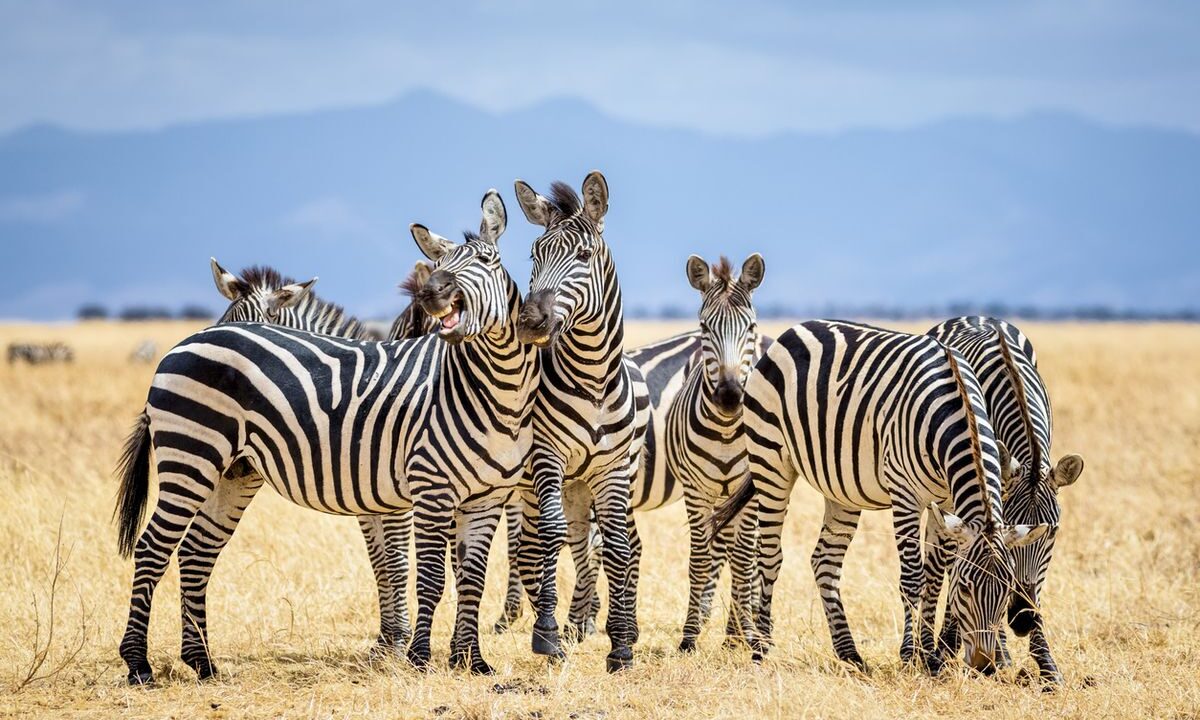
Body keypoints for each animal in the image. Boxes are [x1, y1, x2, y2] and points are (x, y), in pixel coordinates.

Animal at [114, 190, 538, 684]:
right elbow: (418, 571)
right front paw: (412, 654)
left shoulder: (482, 496)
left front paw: (469, 661)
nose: (433, 294)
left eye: (487, 260)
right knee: (152, 549)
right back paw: (139, 664)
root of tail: (179, 346)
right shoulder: (425, 489)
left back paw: (202, 662)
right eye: (439, 265)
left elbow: (466, 576)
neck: (494, 389)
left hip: (232, 472)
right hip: (191, 457)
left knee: (196, 553)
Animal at [510, 171, 647, 672]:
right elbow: (550, 537)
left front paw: (621, 644)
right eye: (534, 255)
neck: (593, 380)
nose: (530, 322)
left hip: (588, 483)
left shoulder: (611, 470)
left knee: (595, 544)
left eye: (584, 256)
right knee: (551, 542)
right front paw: (547, 633)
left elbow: (619, 546)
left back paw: (592, 623)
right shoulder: (546, 457)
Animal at [711, 320, 1050, 674]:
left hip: (841, 488)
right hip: (772, 461)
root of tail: (793, 331)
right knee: (769, 555)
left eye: (1007, 589)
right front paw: (910, 655)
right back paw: (761, 648)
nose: (985, 665)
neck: (957, 411)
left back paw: (849, 653)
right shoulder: (905, 495)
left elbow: (934, 576)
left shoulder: (946, 502)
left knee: (825, 560)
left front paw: (930, 657)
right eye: (966, 588)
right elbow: (914, 577)